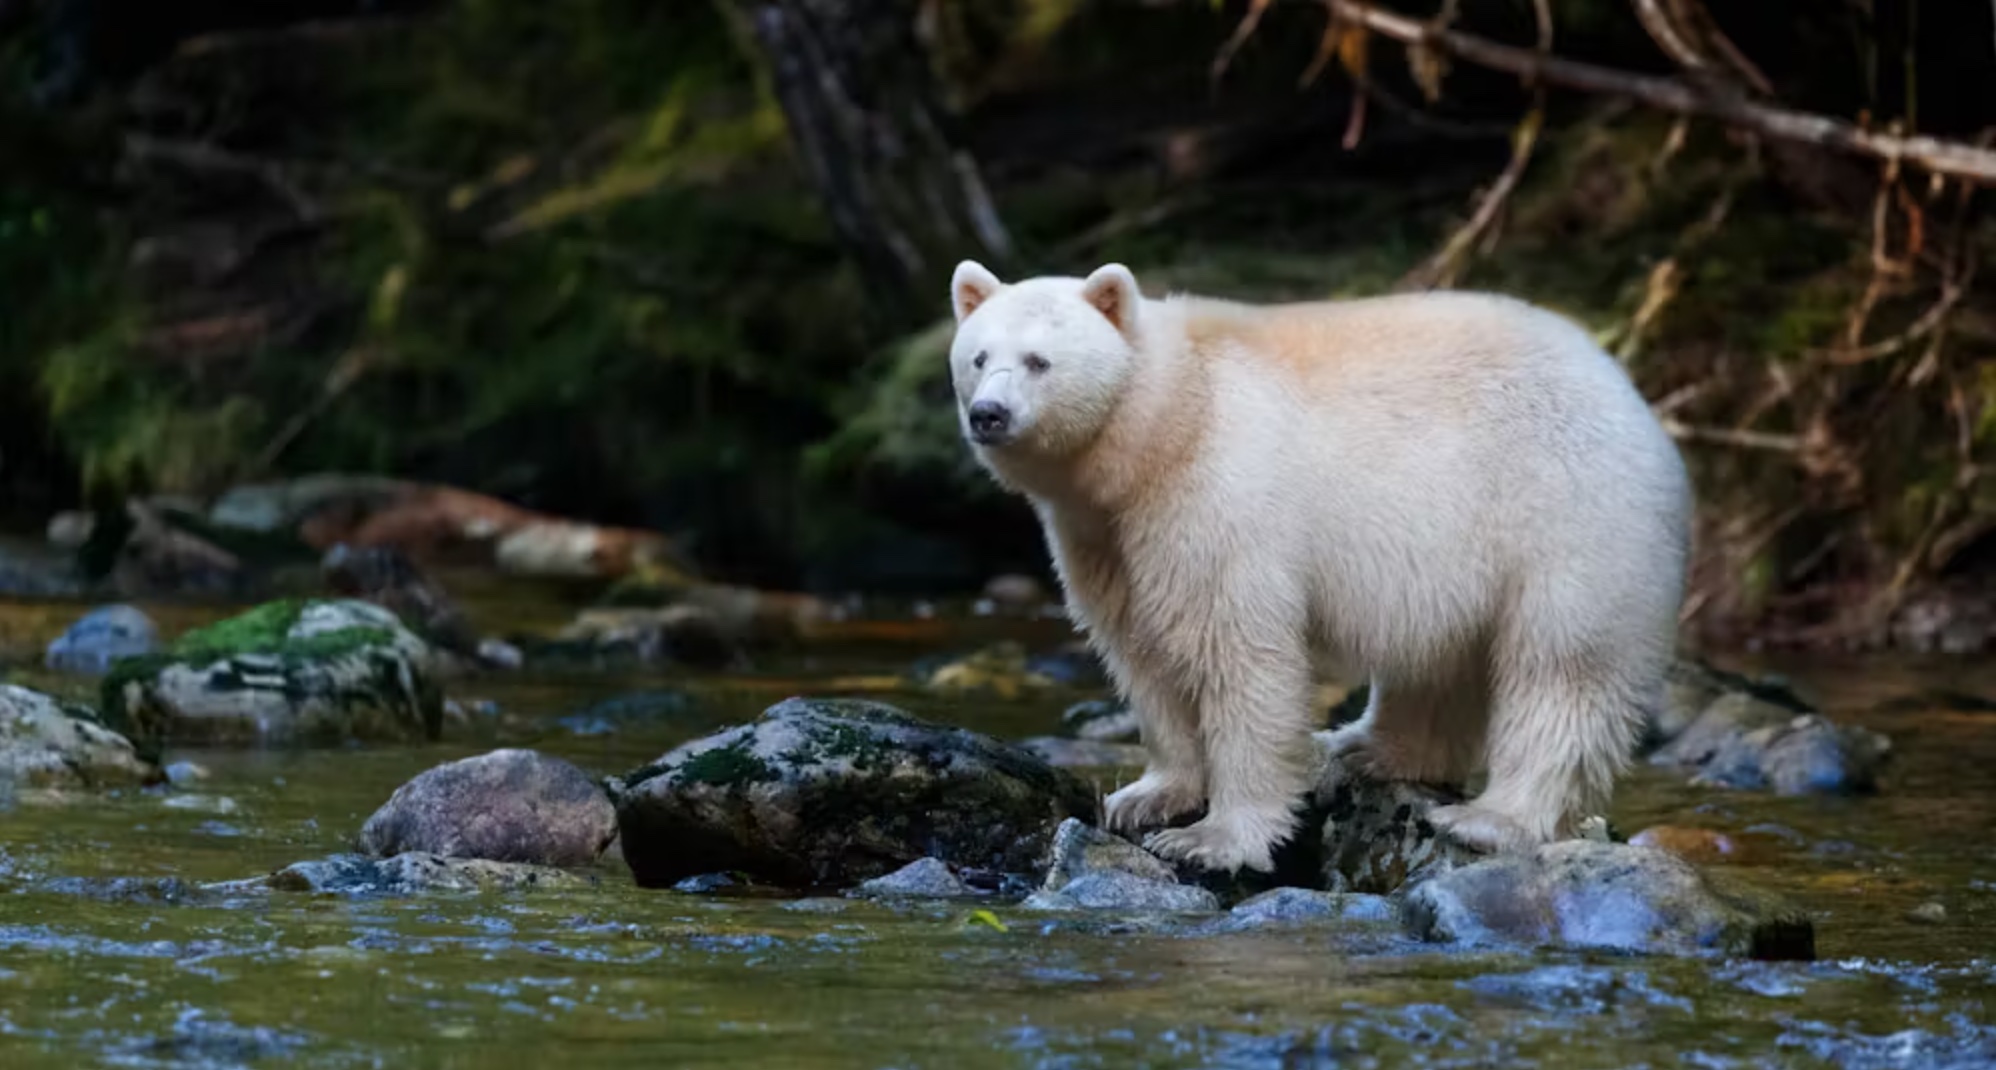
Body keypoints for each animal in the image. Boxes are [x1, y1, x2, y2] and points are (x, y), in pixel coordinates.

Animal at [946, 261, 1684, 878]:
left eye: (1039, 361)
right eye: (977, 357)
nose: (989, 414)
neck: (1163, 422)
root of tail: (1629, 392)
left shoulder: (1215, 495)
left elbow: (1236, 653)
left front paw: (1214, 839)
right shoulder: (1104, 536)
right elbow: (1144, 651)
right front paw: (1148, 796)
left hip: (1563, 512)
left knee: (1562, 665)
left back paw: (1490, 817)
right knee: (1438, 660)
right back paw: (1362, 748)